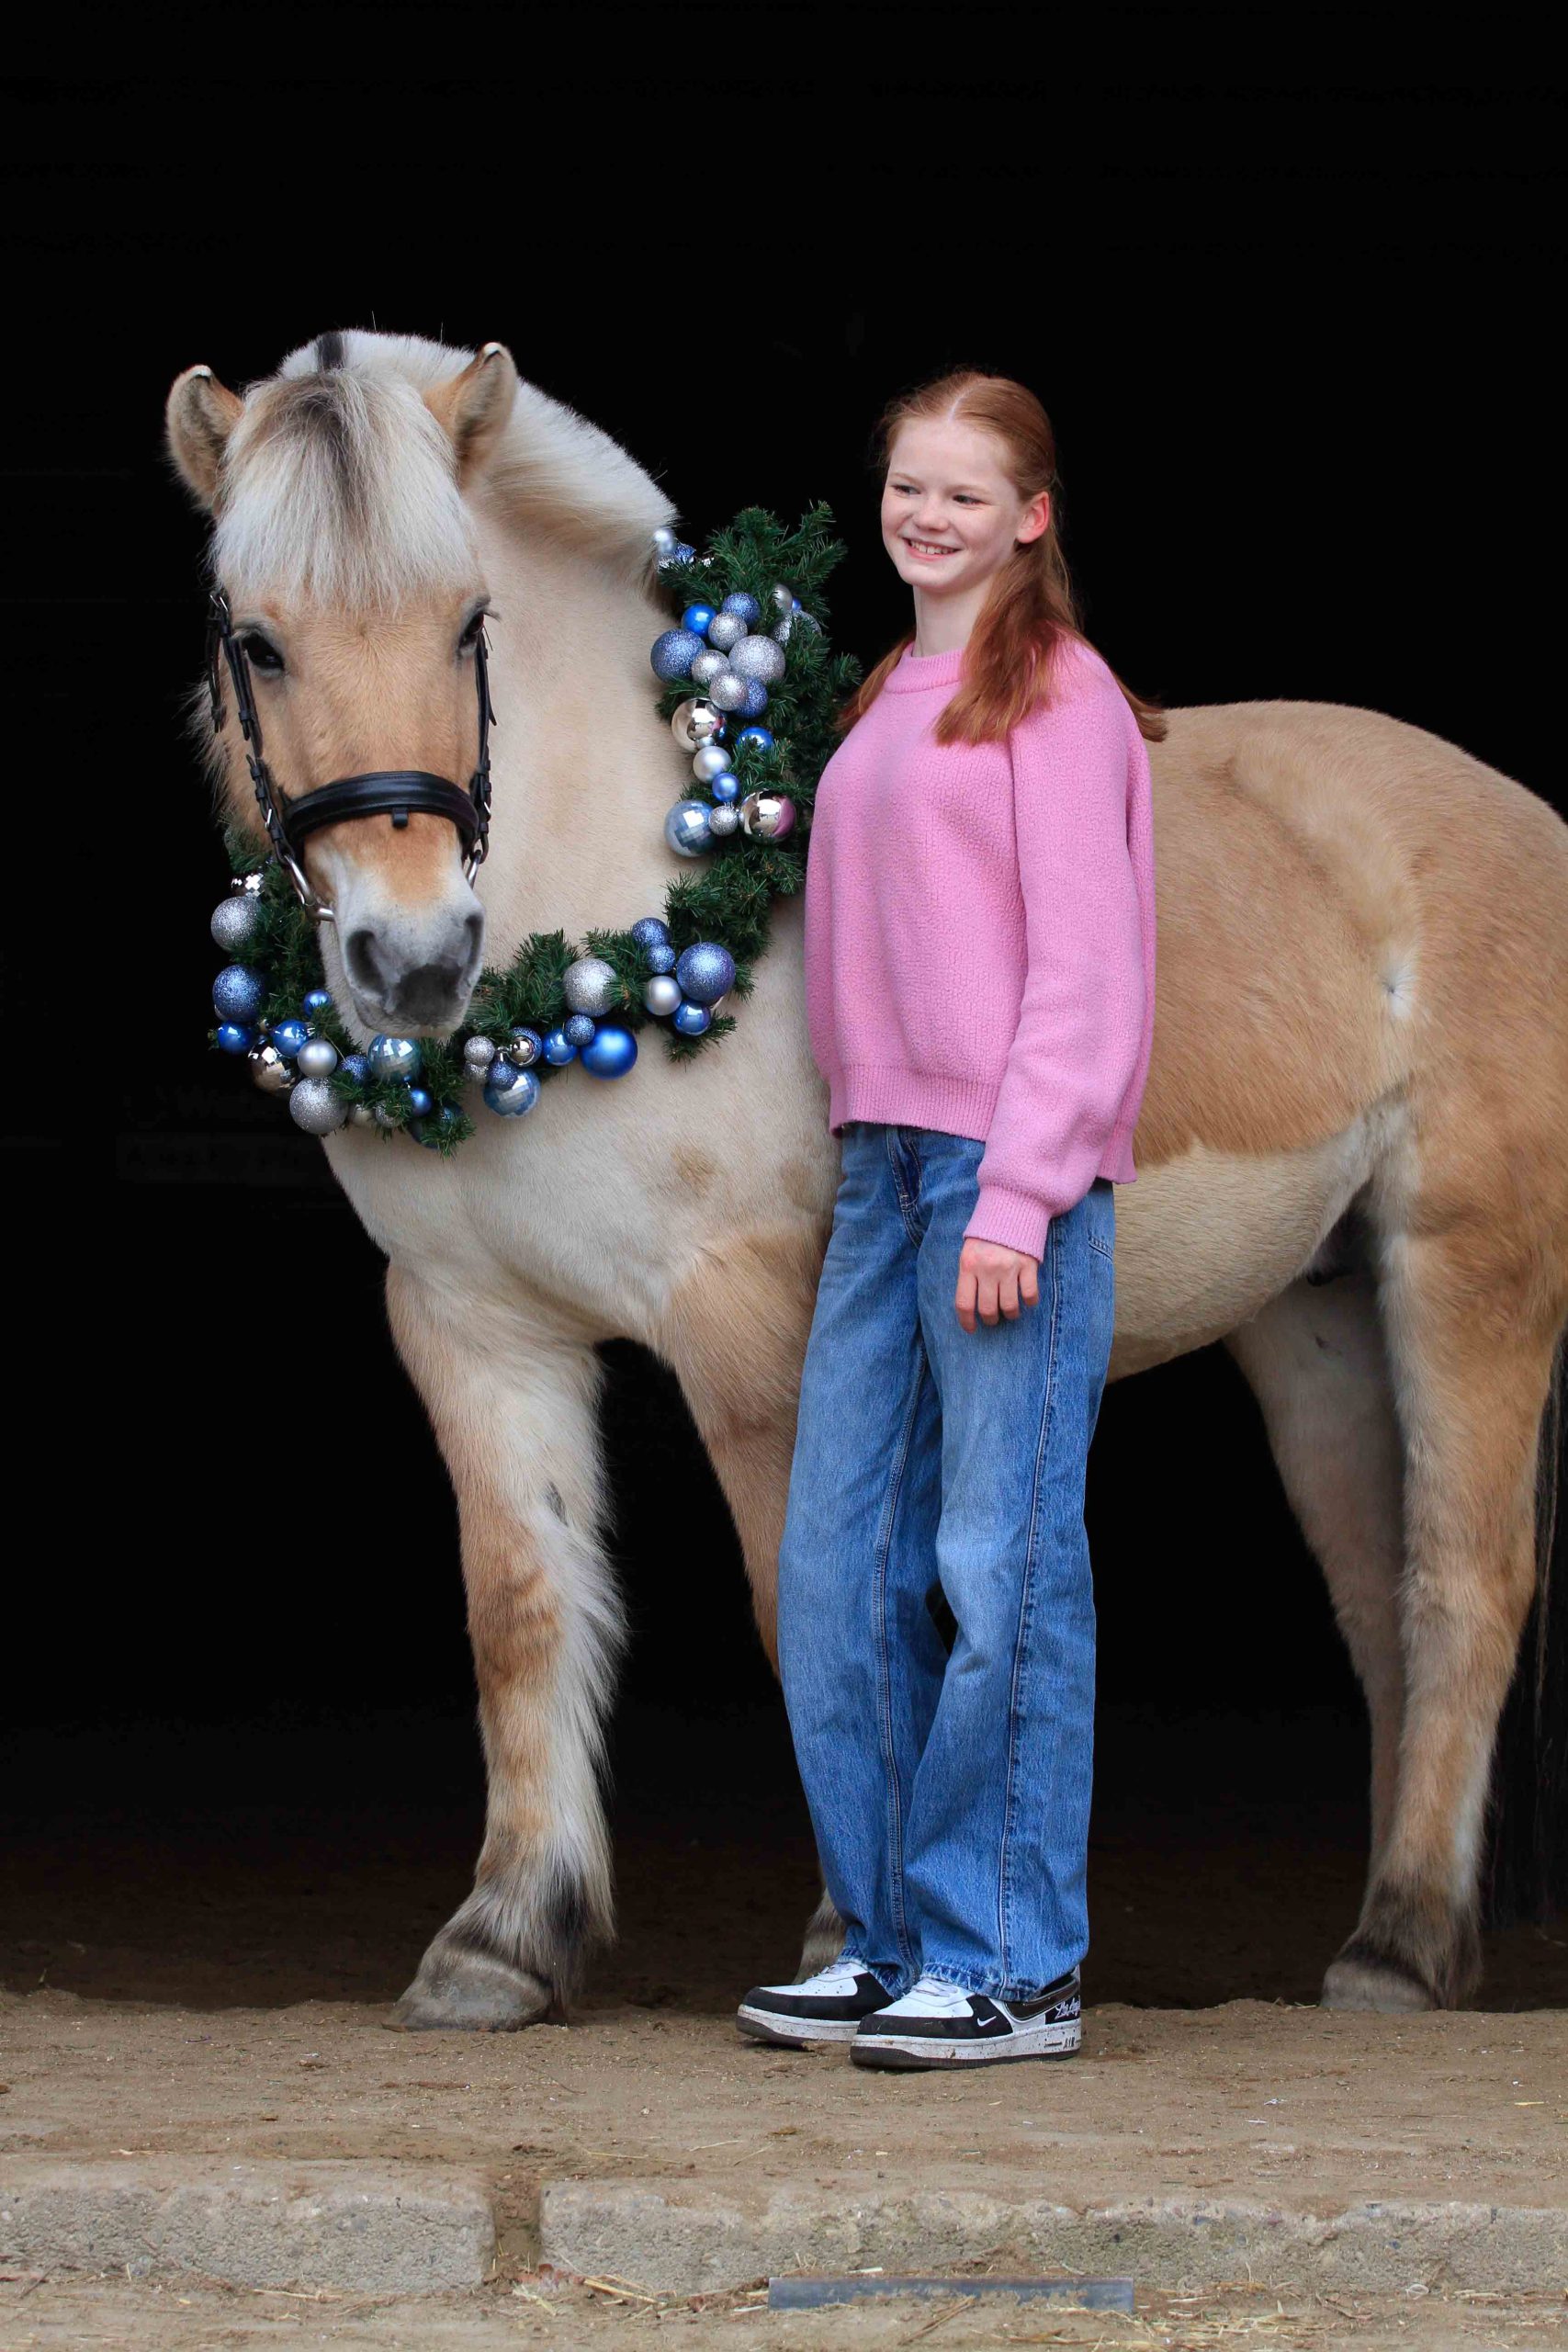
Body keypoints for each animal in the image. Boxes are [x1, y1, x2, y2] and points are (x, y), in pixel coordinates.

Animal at [164, 327, 1568, 2027]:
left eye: (466, 622)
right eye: (258, 640)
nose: (414, 960)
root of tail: (1526, 820)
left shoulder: (749, 1319)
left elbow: (813, 1605)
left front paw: (848, 1938)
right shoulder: (471, 1327)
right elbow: (523, 1612)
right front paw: (500, 1941)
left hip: (1466, 1269)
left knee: (1460, 1584)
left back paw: (1404, 1941)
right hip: (1311, 1311)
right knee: (1380, 1603)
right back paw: (1388, 1935)